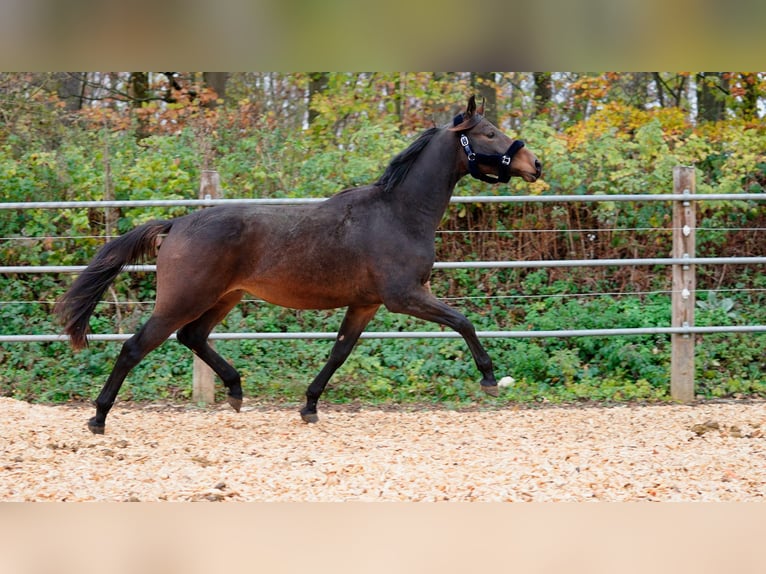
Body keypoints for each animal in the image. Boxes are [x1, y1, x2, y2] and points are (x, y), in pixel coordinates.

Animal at [55, 97, 540, 434]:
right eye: (490, 133)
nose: (534, 163)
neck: (398, 213)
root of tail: (176, 225)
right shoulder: (404, 296)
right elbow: (463, 321)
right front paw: (489, 378)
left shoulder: (366, 304)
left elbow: (339, 352)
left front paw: (309, 406)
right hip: (184, 299)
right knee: (135, 347)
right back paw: (98, 418)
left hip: (223, 298)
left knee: (192, 337)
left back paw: (235, 391)